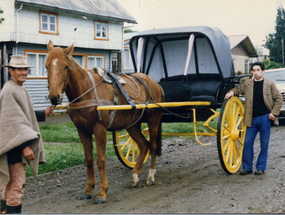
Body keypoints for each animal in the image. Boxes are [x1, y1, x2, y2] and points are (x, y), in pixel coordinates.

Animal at [45, 40, 163, 205]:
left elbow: (101, 160)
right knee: (143, 145)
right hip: (132, 125)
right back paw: (135, 176)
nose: (54, 97)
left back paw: (150, 176)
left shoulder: (99, 129)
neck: (87, 90)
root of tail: (154, 83)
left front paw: (102, 192)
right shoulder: (82, 130)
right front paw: (88, 190)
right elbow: (89, 159)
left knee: (152, 146)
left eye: (66, 67)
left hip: (153, 120)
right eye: (46, 66)